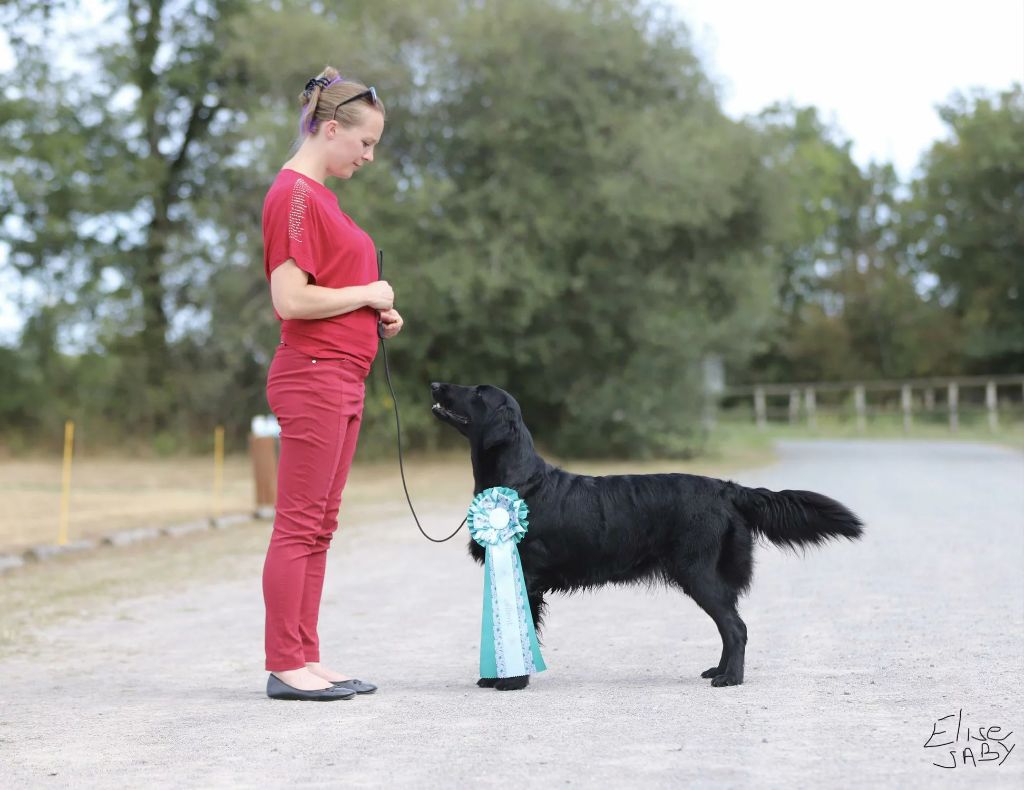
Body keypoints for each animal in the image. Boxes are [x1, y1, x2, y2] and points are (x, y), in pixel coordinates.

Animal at [432, 383, 864, 692]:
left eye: (477, 393)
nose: (435, 384)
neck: (518, 481)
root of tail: (726, 489)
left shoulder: (529, 574)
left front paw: (513, 681)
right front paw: (495, 677)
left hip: (697, 571)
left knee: (735, 627)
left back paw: (731, 679)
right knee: (730, 626)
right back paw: (718, 670)